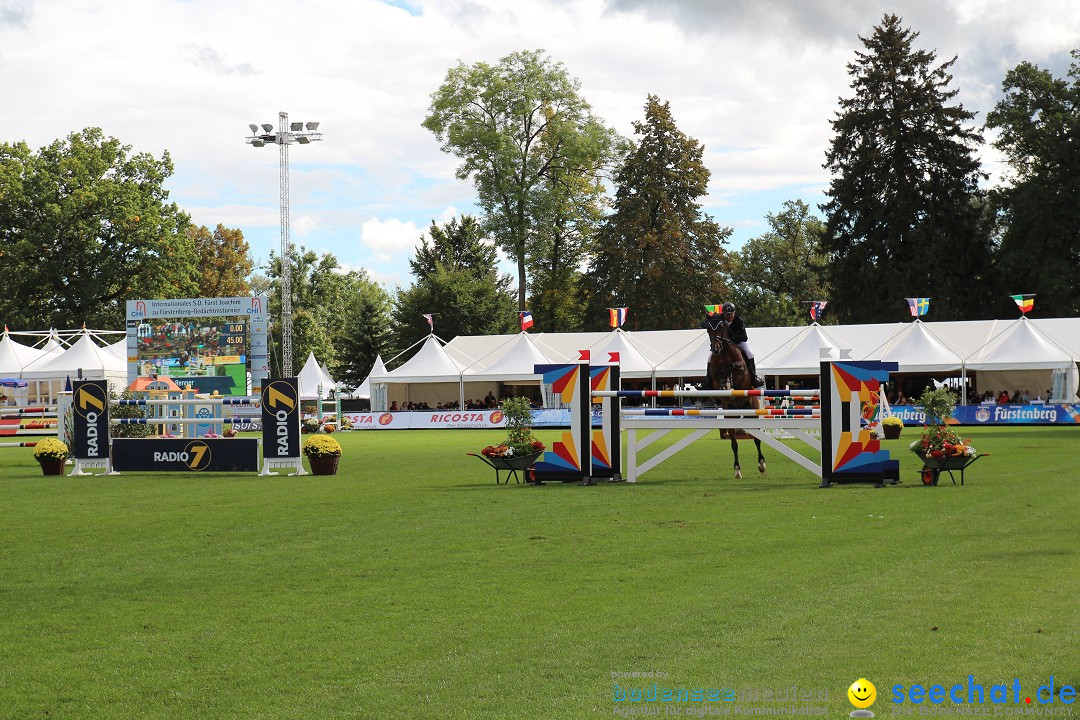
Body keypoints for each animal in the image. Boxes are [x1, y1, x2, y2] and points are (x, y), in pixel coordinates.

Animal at [704, 319, 764, 479]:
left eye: (721, 328)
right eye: (708, 330)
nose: (715, 349)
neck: (724, 353)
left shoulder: (741, 369)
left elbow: (734, 368)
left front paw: (729, 380)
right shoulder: (715, 374)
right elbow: (718, 374)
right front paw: (725, 384)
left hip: (752, 410)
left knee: (756, 439)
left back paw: (761, 464)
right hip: (731, 415)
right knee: (734, 443)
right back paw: (737, 470)